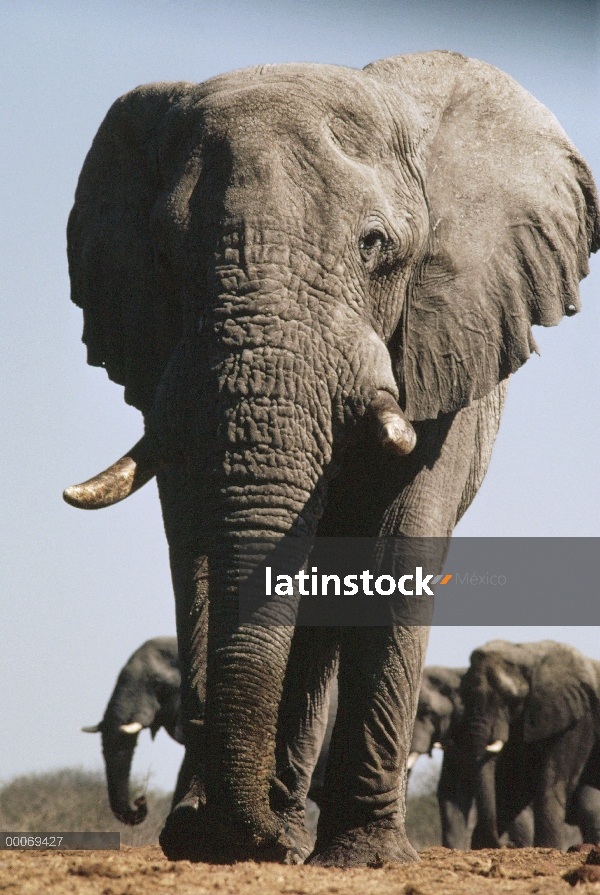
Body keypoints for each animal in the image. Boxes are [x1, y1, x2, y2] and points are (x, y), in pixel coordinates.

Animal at [462, 640, 600, 852]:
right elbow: (516, 784)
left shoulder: (578, 718)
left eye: (511, 699)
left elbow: (553, 779)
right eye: (463, 696)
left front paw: (548, 848)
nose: (506, 844)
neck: (524, 653)